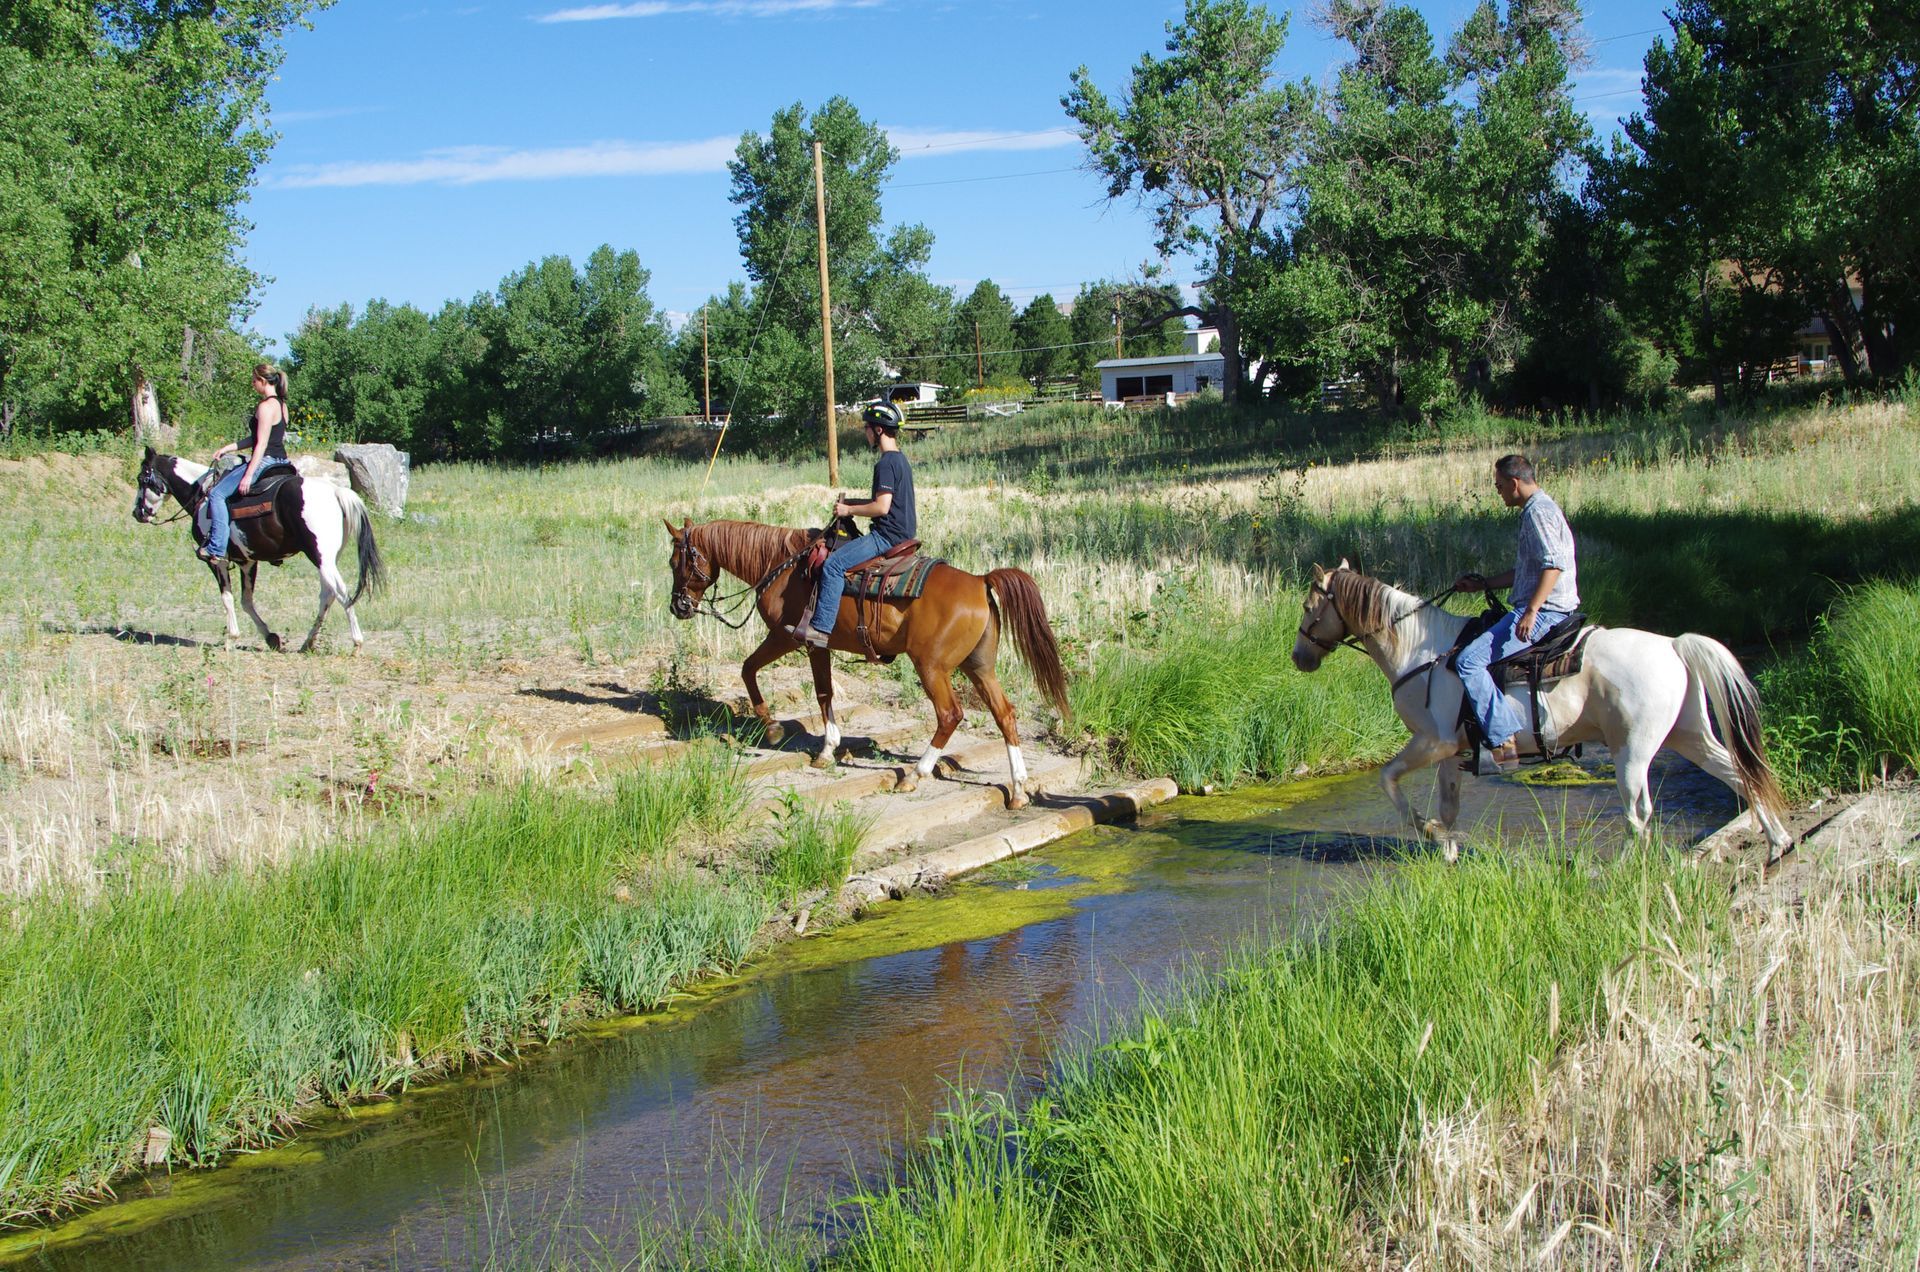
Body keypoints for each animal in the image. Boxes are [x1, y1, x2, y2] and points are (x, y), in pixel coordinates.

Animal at [133, 447, 386, 652]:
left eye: (142, 478)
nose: (137, 512)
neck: (203, 495)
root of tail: (335, 492)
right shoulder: (247, 561)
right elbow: (246, 601)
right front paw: (270, 636)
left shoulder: (216, 560)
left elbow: (227, 598)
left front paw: (231, 639)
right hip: (327, 560)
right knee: (328, 594)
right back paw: (308, 642)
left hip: (320, 557)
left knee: (342, 592)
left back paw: (356, 642)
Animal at [664, 519, 1071, 808]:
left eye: (677, 561)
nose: (678, 606)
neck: (782, 567)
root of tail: (980, 581)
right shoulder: (816, 647)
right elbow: (821, 692)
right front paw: (822, 745)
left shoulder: (789, 638)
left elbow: (759, 673)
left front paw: (783, 732)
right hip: (978, 667)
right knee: (1004, 714)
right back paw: (1018, 789)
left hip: (932, 667)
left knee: (950, 714)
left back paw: (915, 774)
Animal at [1291, 560, 1792, 860]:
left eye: (1309, 605)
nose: (1299, 658)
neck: (1423, 651)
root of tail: (1673, 645)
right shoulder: (1452, 750)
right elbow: (1449, 806)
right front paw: (1446, 848)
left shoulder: (1431, 741)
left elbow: (1388, 778)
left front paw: (1424, 828)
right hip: (1688, 736)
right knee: (1739, 774)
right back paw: (1779, 842)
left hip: (1633, 750)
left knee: (1639, 813)